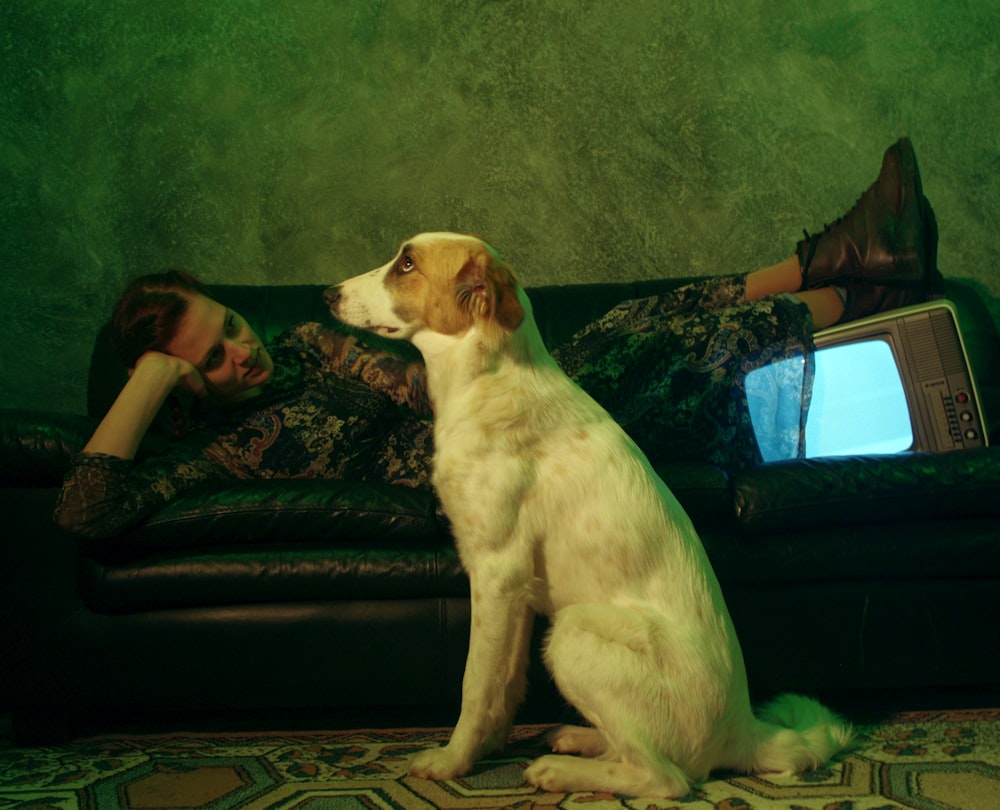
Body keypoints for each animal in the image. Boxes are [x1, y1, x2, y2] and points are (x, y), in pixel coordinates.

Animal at [328, 232, 852, 796]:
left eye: (406, 264)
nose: (327, 294)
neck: (485, 379)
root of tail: (744, 731)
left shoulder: (496, 574)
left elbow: (474, 684)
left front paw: (453, 762)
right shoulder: (518, 593)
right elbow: (504, 685)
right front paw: (489, 748)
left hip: (571, 633)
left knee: (666, 778)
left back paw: (561, 771)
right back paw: (580, 739)